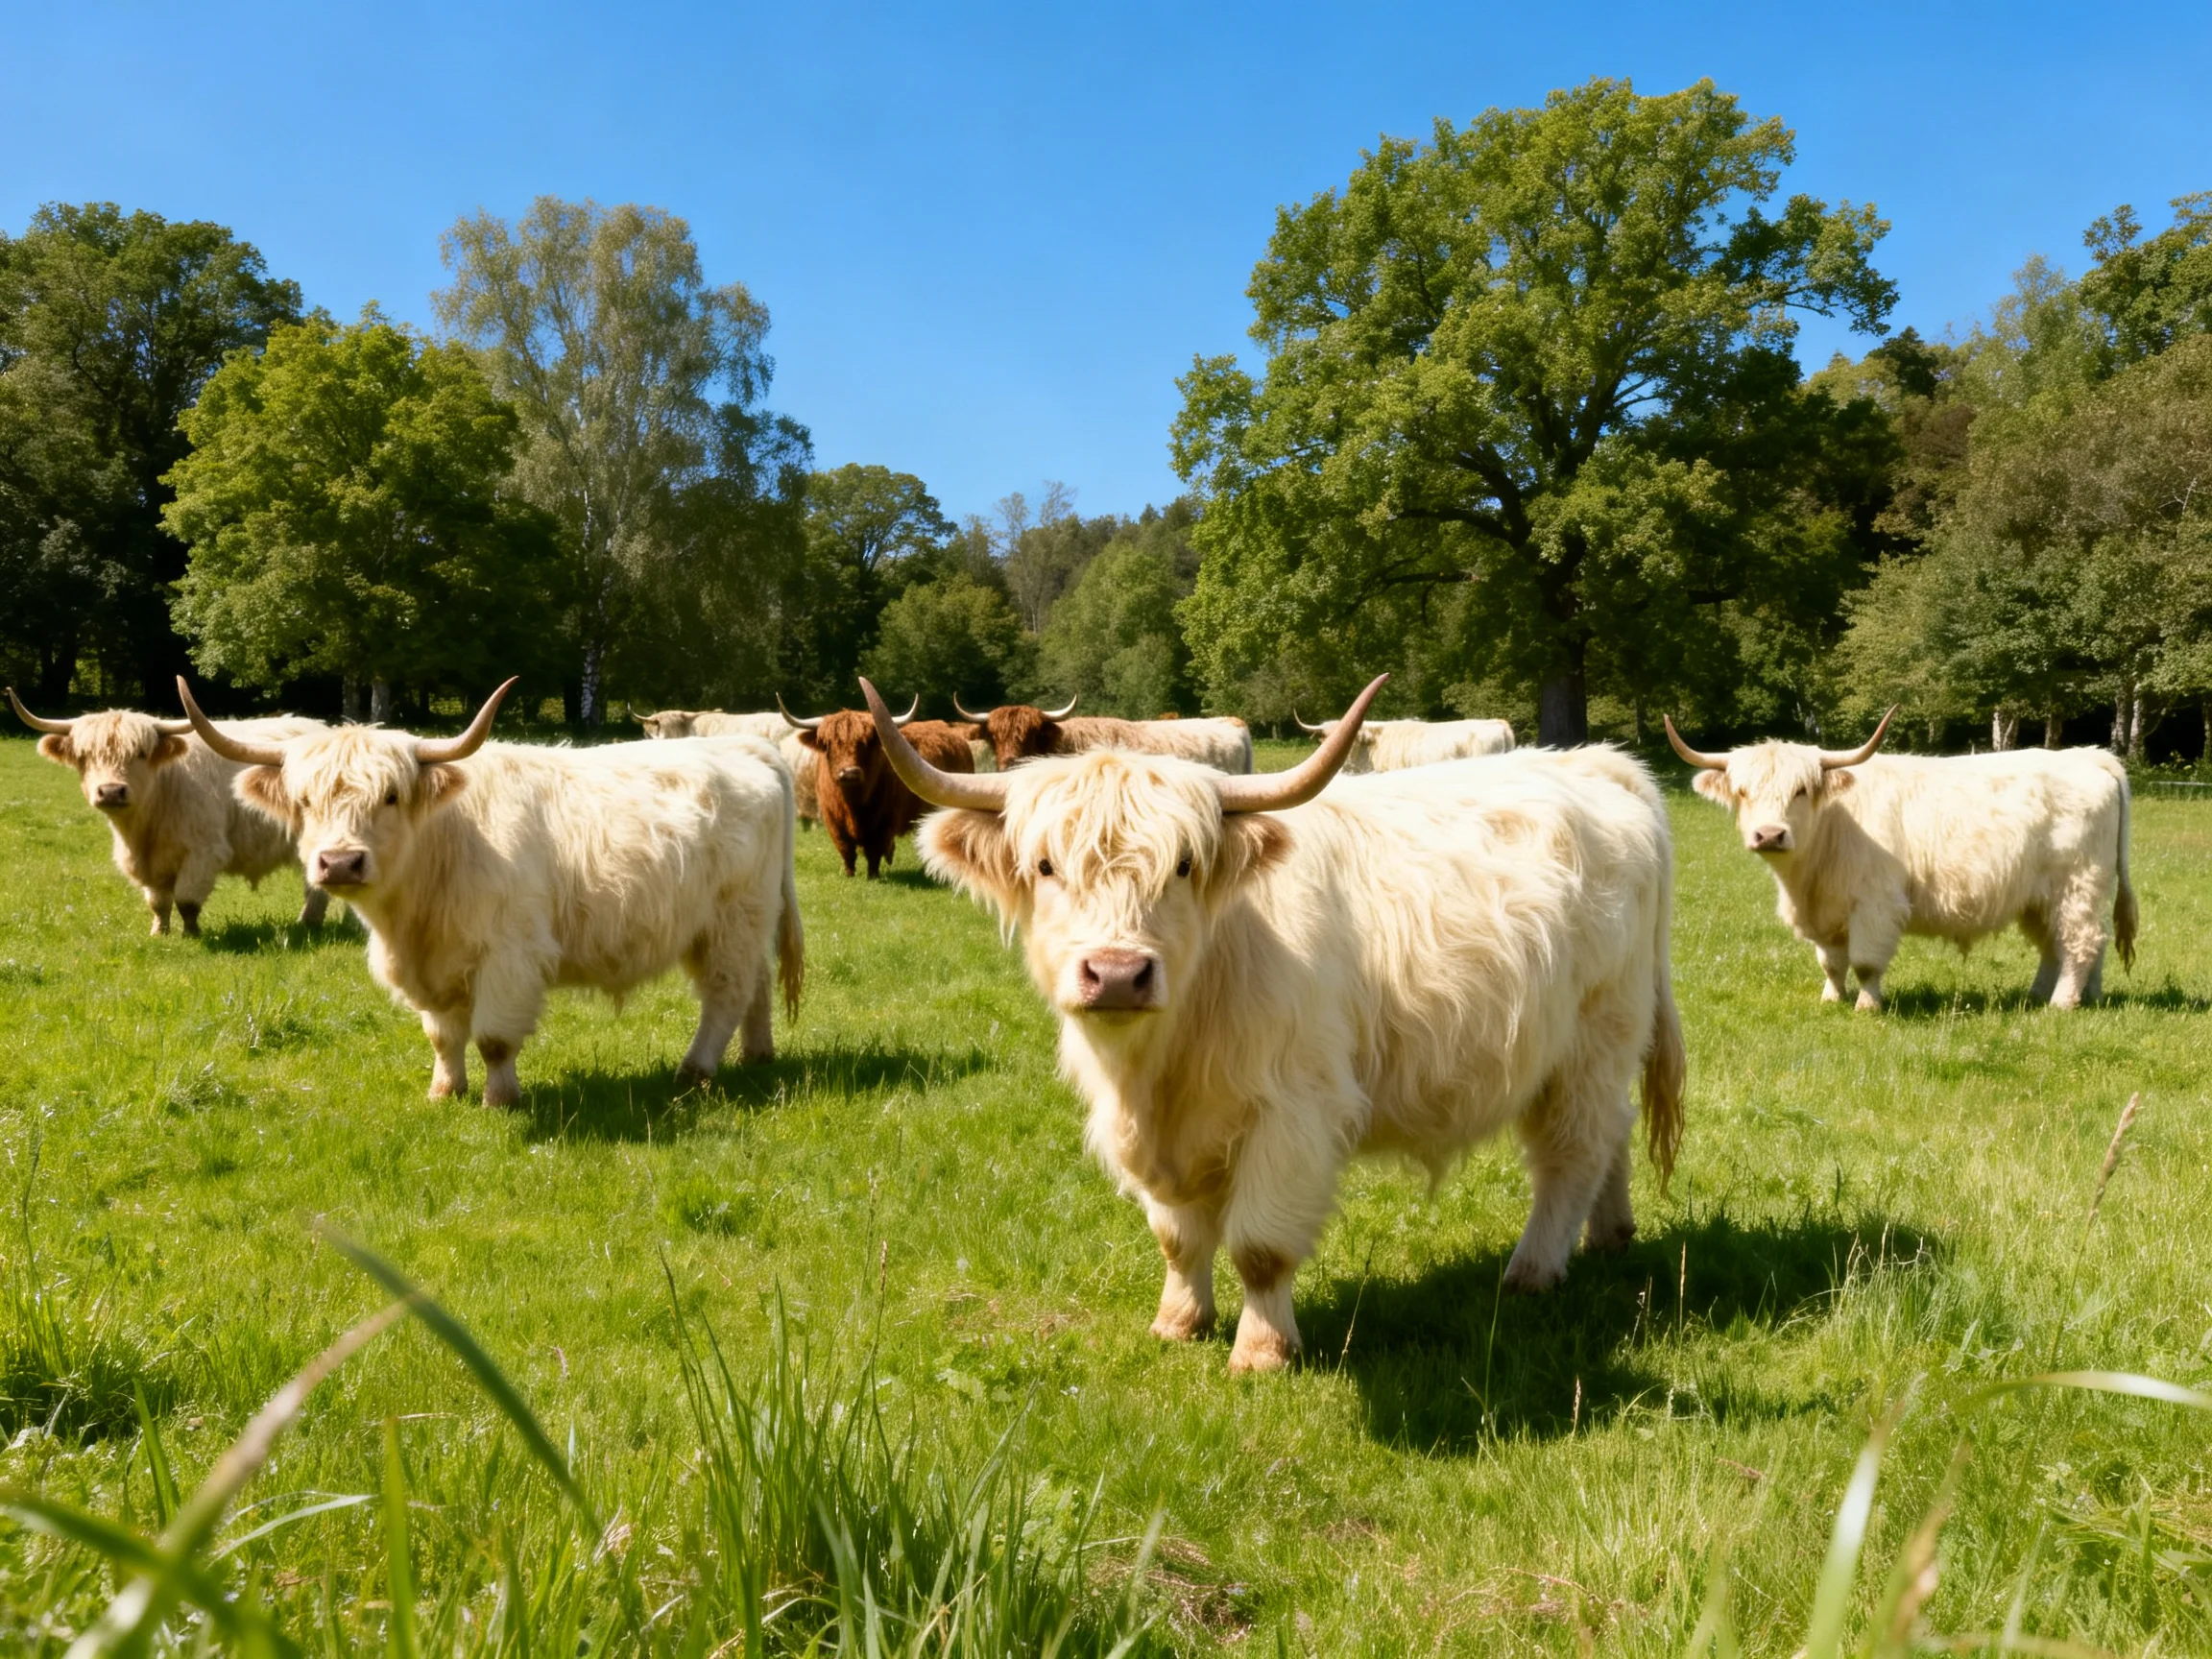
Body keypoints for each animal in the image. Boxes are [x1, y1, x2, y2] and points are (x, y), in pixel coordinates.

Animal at [12, 688, 328, 937]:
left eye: (141, 753)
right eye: (84, 756)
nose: (111, 791)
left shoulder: (204, 852)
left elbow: (187, 900)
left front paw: (191, 933)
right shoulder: (150, 863)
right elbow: (158, 902)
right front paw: (159, 932)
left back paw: (308, 923)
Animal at [179, 678, 803, 1105]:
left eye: (391, 796)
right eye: (305, 801)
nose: (339, 862)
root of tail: (746, 748)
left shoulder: (510, 956)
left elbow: (494, 1039)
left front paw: (500, 1098)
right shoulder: (436, 964)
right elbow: (442, 1035)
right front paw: (444, 1091)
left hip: (731, 920)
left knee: (726, 993)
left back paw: (694, 1072)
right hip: (744, 922)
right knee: (756, 984)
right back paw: (757, 1055)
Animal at [1666, 710, 2137, 1011]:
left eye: (1801, 790)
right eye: (1742, 792)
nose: (1769, 834)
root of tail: (2087, 756)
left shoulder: (1876, 904)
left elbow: (1864, 962)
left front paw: (1867, 1006)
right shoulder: (1827, 911)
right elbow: (1831, 962)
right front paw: (1831, 999)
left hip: (2077, 884)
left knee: (2081, 942)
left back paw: (2062, 1003)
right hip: (2040, 897)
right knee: (2059, 945)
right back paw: (2052, 996)